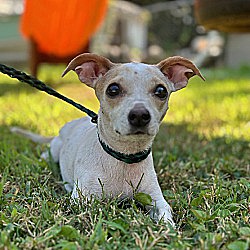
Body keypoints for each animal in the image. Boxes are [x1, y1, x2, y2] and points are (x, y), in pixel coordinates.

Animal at [11, 53, 204, 226]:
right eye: (113, 90)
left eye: (161, 91)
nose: (139, 115)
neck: (123, 158)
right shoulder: (82, 200)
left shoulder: (156, 198)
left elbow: (165, 215)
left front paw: (167, 229)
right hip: (54, 150)